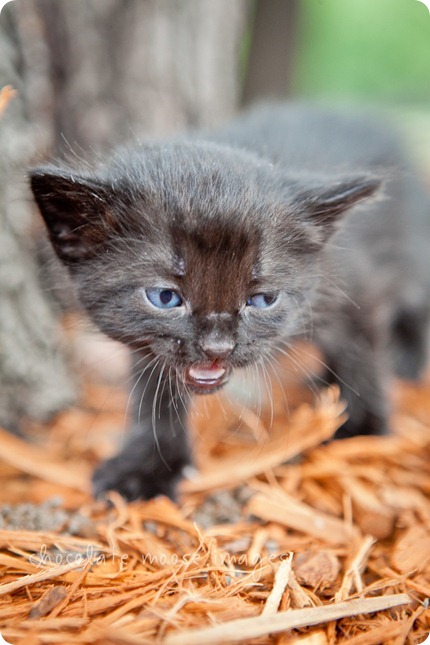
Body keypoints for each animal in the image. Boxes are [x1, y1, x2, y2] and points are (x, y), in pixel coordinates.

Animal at [30, 103, 430, 500]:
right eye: (165, 297)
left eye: (263, 299)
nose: (217, 347)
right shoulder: (150, 346)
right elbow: (154, 396)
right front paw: (149, 466)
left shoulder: (360, 288)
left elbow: (362, 355)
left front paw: (362, 430)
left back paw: (405, 362)